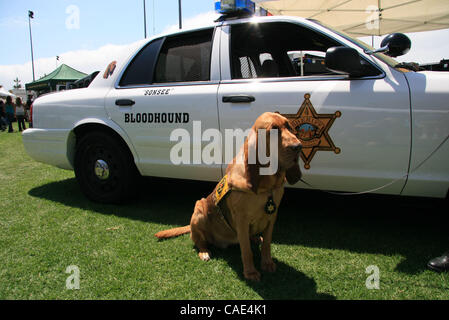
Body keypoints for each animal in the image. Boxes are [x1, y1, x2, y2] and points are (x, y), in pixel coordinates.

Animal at [155, 112, 300, 280]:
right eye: (274, 130)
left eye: (288, 125)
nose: (299, 147)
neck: (267, 187)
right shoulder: (242, 221)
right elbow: (246, 251)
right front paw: (250, 272)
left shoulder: (272, 217)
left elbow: (266, 245)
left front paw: (267, 263)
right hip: (199, 209)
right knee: (199, 241)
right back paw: (204, 252)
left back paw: (255, 238)